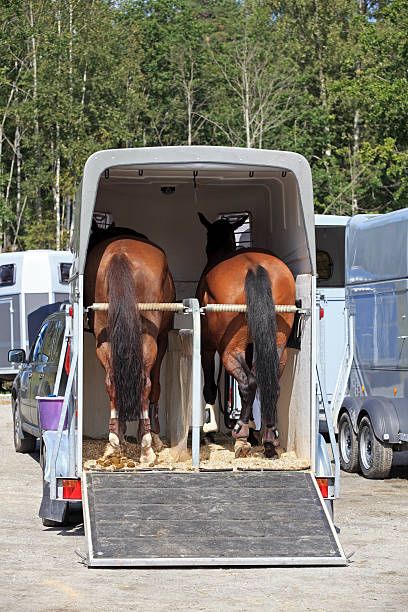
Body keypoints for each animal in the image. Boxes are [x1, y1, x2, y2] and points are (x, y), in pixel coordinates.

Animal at [84, 227, 175, 466]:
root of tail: (120, 254)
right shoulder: (162, 340)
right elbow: (155, 386)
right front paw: (154, 437)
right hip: (149, 340)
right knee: (145, 382)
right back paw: (146, 447)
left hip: (104, 337)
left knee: (112, 381)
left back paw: (114, 441)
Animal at [196, 213, 294, 456]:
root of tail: (254, 267)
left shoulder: (207, 347)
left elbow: (210, 386)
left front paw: (210, 430)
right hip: (277, 347)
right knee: (269, 384)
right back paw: (269, 437)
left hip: (230, 349)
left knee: (248, 382)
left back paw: (239, 431)